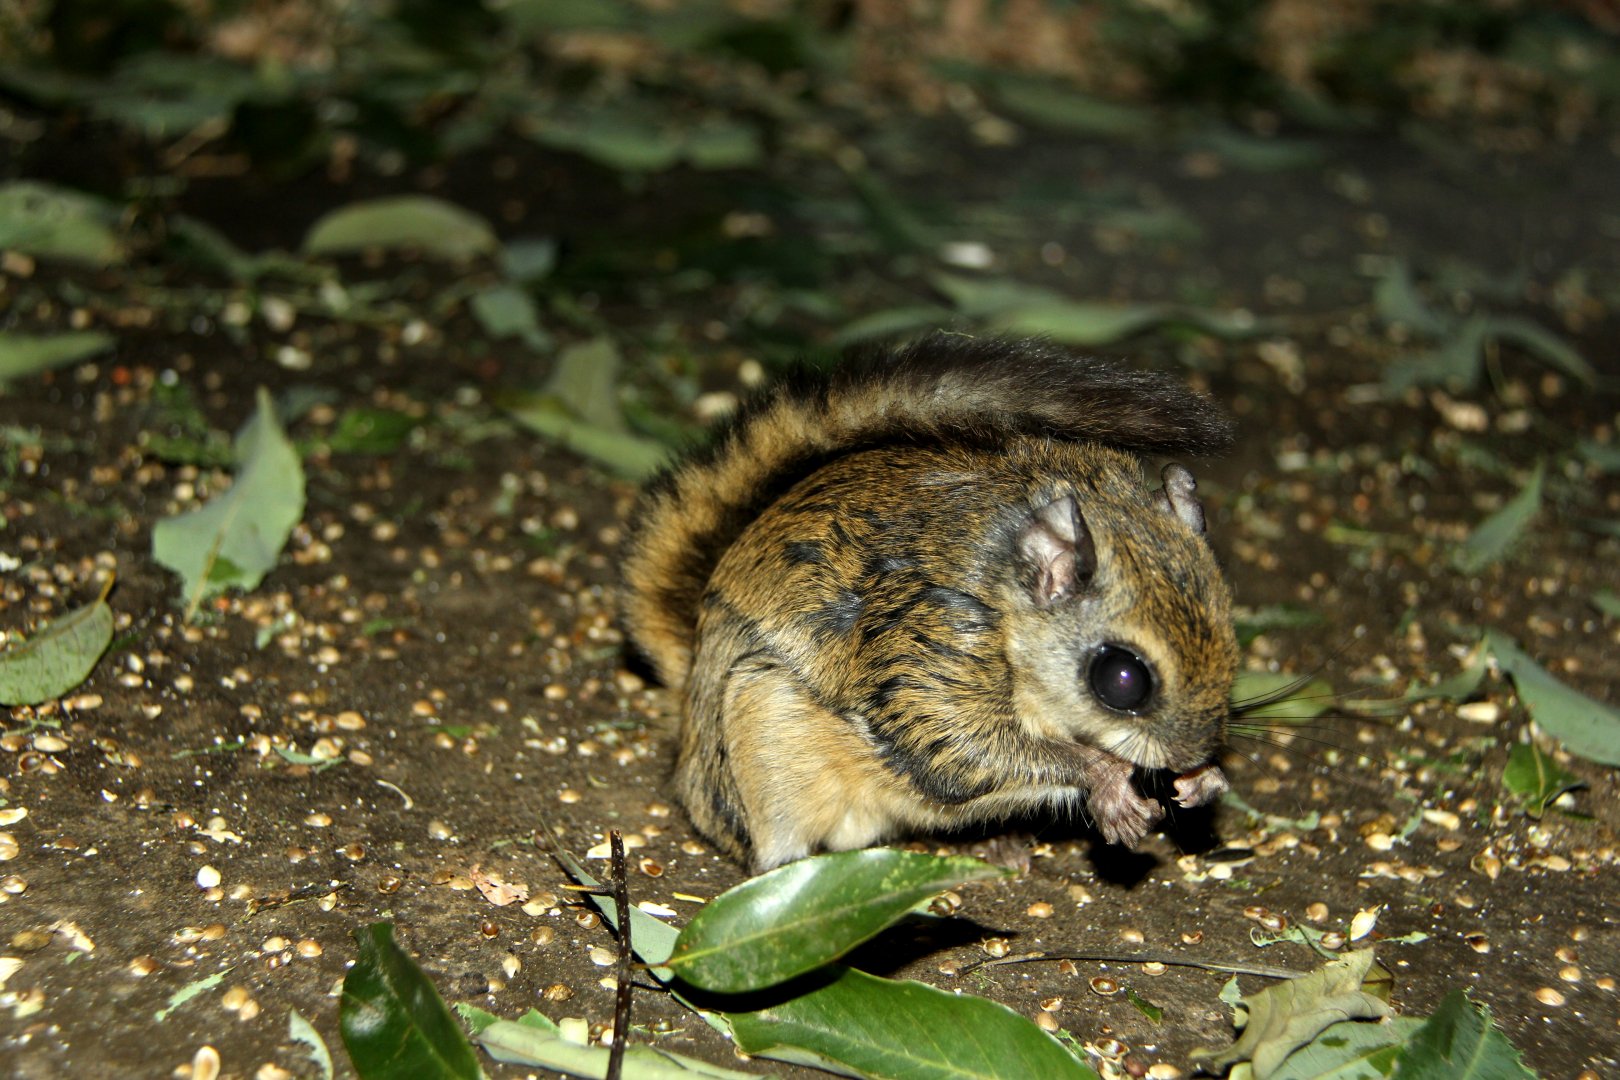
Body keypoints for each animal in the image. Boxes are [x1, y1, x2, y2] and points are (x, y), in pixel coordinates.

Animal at [623, 334, 1240, 872]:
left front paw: (1204, 779)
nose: (1188, 755)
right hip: (763, 725)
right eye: (1121, 679)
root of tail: (690, 695)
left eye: (1232, 644)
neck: (1005, 596)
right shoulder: (931, 651)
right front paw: (1107, 778)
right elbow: (959, 750)